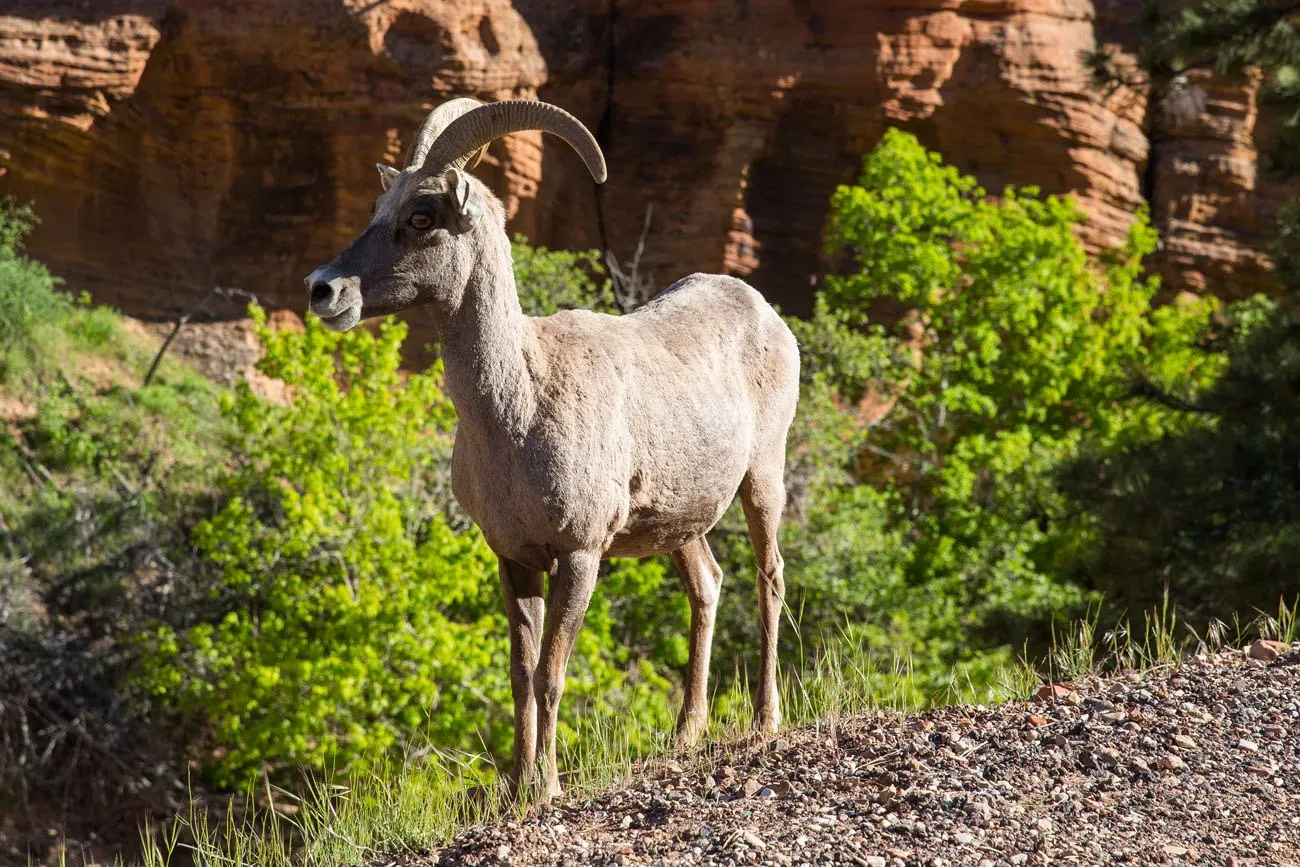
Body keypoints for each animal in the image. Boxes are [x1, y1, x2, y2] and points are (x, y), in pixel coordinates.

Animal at [304, 98, 800, 800]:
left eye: (422, 215)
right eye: (379, 207)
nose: (323, 290)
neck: (519, 408)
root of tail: (764, 312)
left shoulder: (580, 556)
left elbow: (551, 673)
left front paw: (548, 788)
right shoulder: (515, 559)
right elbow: (519, 673)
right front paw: (515, 789)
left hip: (763, 480)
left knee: (770, 578)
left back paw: (764, 722)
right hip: (682, 524)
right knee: (707, 587)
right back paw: (685, 737)